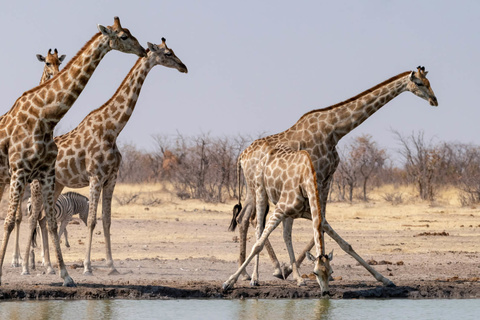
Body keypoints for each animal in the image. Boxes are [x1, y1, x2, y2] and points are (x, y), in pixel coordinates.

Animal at [0, 16, 146, 288]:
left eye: (132, 33)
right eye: (123, 36)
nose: (143, 50)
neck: (44, 117)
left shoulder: (46, 173)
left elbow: (51, 223)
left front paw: (66, 275)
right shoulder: (20, 171)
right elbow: (10, 221)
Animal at [23, 38, 188, 276]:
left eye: (173, 51)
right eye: (167, 53)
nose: (184, 67)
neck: (113, 128)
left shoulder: (111, 178)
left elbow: (107, 221)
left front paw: (111, 266)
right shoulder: (95, 177)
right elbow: (92, 220)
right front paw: (87, 266)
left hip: (57, 184)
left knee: (44, 219)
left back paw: (49, 267)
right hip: (37, 185)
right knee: (33, 218)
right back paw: (26, 266)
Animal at [222, 145, 332, 296]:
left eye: (331, 272)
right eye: (315, 273)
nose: (326, 292)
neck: (306, 176)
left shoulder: (307, 212)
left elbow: (342, 241)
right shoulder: (280, 208)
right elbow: (258, 245)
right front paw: (228, 282)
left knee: (284, 235)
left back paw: (297, 278)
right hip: (260, 192)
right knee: (257, 228)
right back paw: (255, 278)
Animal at [230, 66, 438, 286]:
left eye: (429, 82)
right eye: (420, 83)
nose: (434, 100)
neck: (335, 130)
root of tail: (241, 156)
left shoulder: (326, 178)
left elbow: (321, 220)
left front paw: (303, 269)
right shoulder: (318, 176)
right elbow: (319, 221)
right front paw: (293, 269)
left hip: (254, 189)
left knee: (245, 219)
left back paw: (250, 272)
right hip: (257, 187)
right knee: (255, 221)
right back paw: (260, 274)